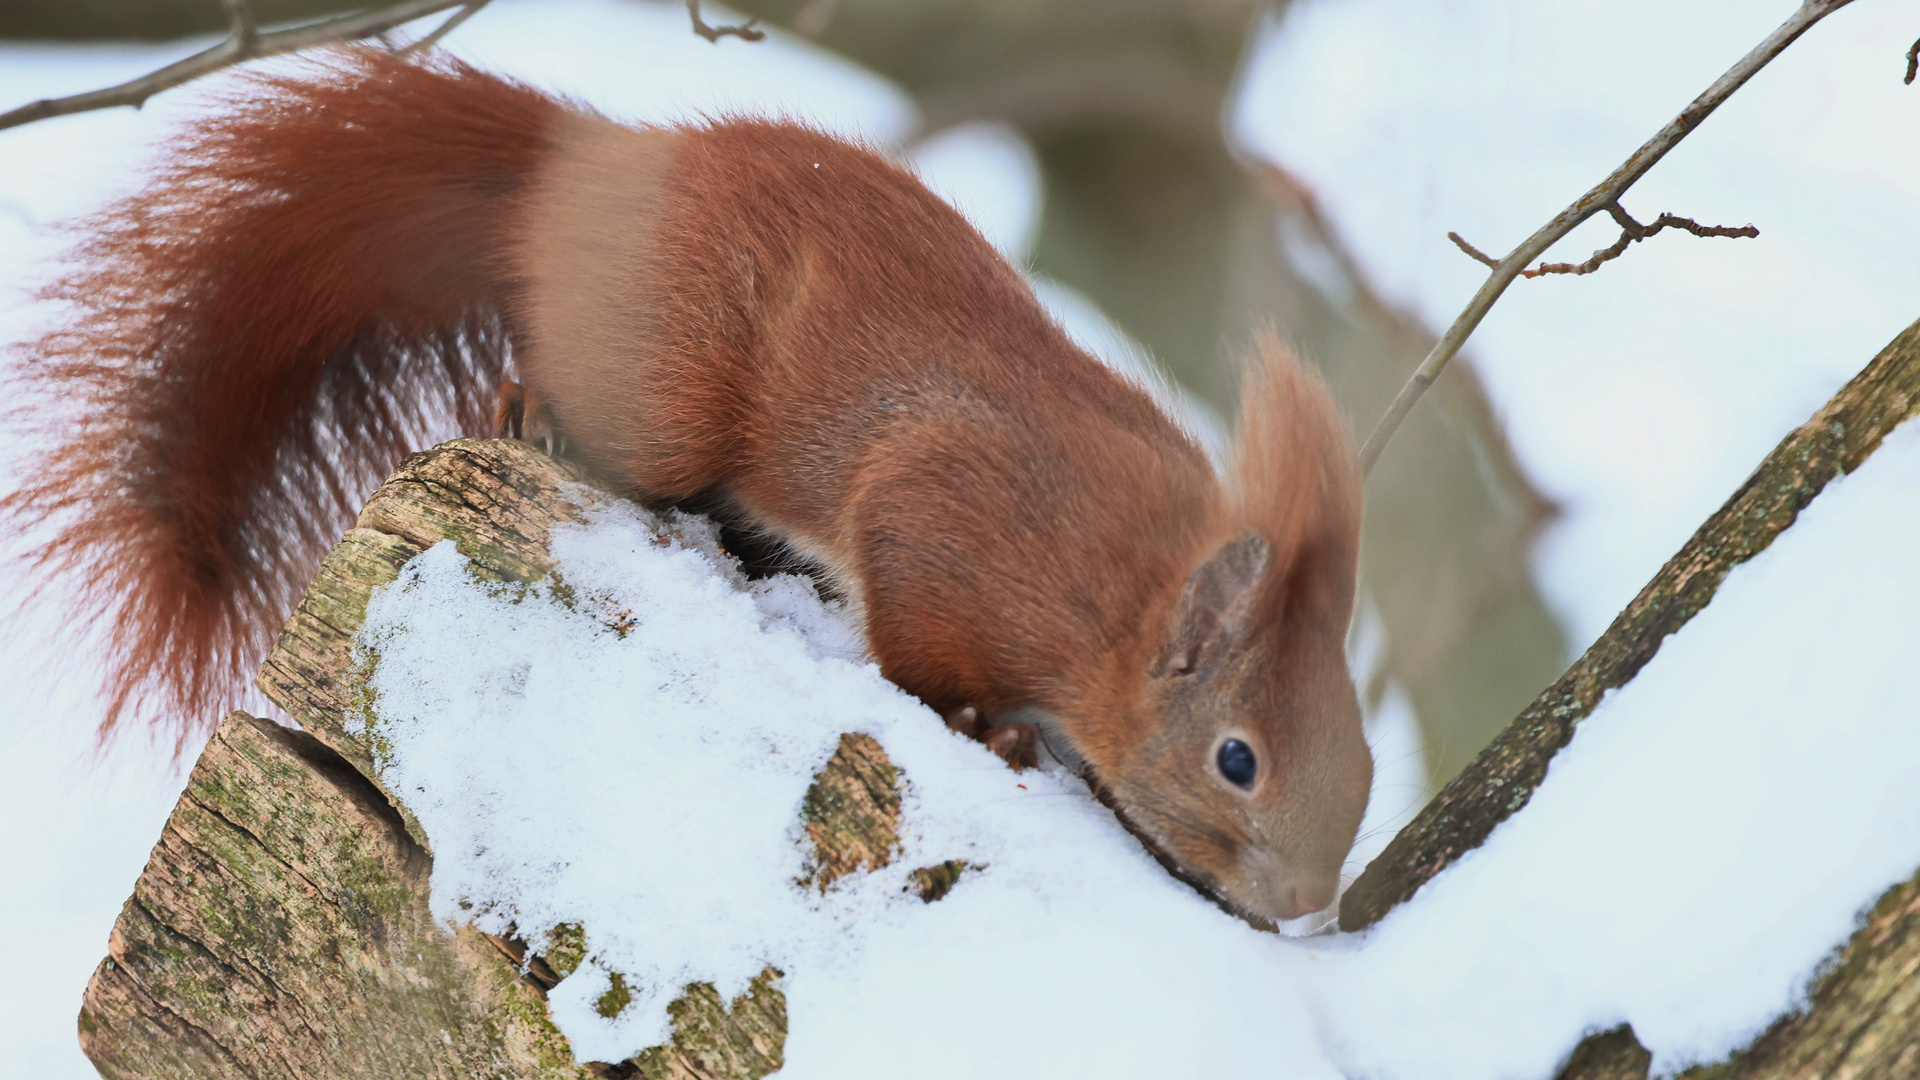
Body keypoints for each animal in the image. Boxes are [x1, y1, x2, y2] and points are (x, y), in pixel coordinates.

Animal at [11, 50, 1367, 922]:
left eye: (1359, 755)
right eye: (1238, 761)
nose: (1308, 906)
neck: (1126, 599)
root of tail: (597, 173)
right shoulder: (947, 519)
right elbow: (915, 646)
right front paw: (986, 729)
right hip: (670, 385)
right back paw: (527, 407)